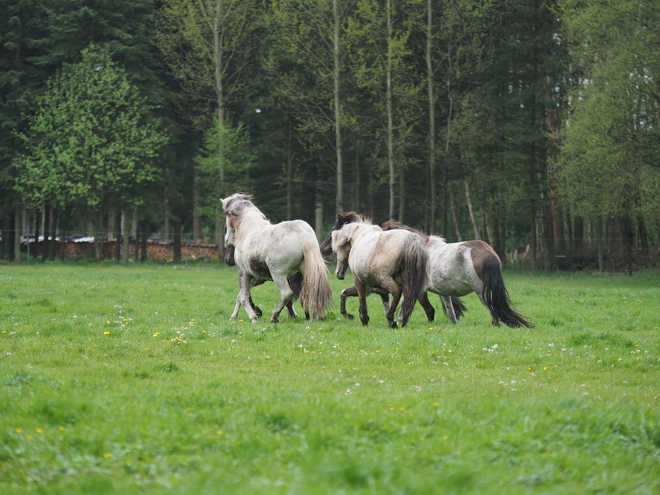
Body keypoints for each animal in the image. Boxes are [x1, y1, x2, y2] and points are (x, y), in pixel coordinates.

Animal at [223, 194, 336, 326]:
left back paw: (274, 316)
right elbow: (240, 296)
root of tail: (303, 233)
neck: (249, 231)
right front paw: (234, 317)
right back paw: (312, 319)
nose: (227, 239)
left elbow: (243, 297)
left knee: (287, 293)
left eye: (227, 216)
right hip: (306, 272)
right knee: (312, 291)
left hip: (278, 274)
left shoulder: (243, 273)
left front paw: (253, 318)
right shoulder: (253, 276)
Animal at [378, 221, 532, 330]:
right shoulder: (443, 293)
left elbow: (407, 307)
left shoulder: (416, 289)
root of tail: (487, 252)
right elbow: (451, 312)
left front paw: (398, 323)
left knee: (493, 311)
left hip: (481, 292)